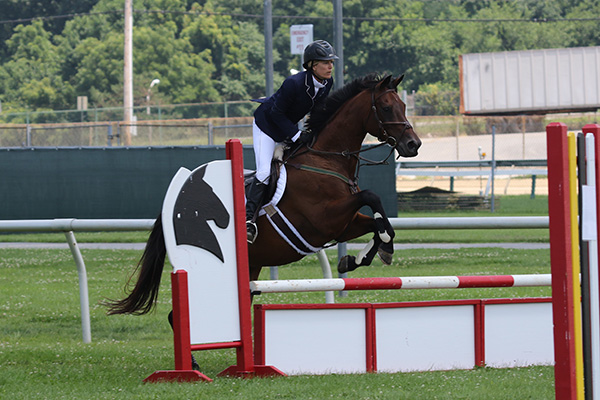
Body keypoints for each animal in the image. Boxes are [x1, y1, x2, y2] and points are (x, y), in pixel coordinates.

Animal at [104, 72, 422, 318]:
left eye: (404, 105)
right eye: (385, 107)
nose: (413, 144)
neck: (326, 160)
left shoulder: (343, 225)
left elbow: (376, 224)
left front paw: (365, 255)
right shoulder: (324, 220)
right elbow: (371, 197)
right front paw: (380, 246)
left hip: (250, 268)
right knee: (178, 314)